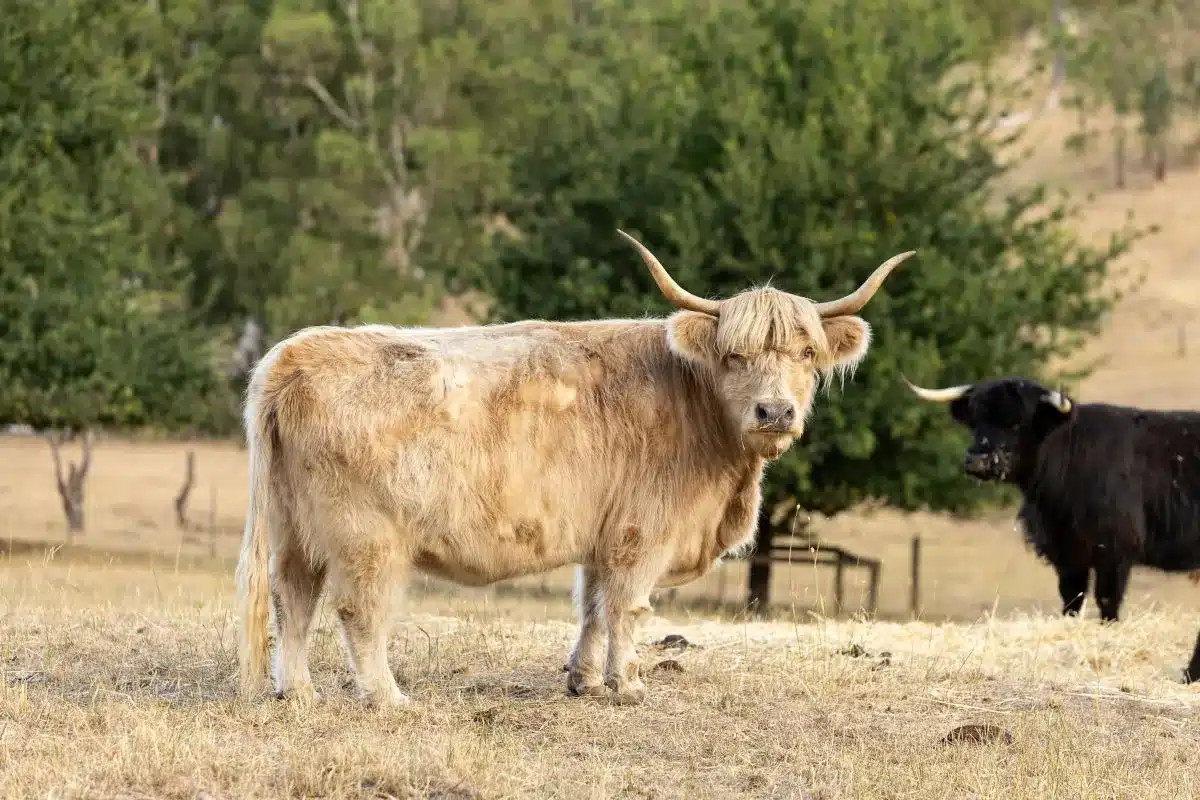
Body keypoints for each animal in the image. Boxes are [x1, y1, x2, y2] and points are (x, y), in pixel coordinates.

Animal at [234, 229, 915, 707]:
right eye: (735, 354)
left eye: (806, 353)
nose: (775, 411)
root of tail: (291, 354)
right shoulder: (642, 534)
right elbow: (627, 607)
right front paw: (628, 685)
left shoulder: (601, 536)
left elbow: (590, 605)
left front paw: (584, 680)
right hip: (365, 537)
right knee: (357, 610)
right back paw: (388, 697)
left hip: (296, 529)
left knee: (292, 599)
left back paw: (299, 692)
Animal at [903, 375, 1200, 683]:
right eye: (975, 421)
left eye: (1017, 422)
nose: (976, 460)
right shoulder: (1066, 554)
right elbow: (1071, 600)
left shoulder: (1114, 550)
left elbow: (1107, 602)